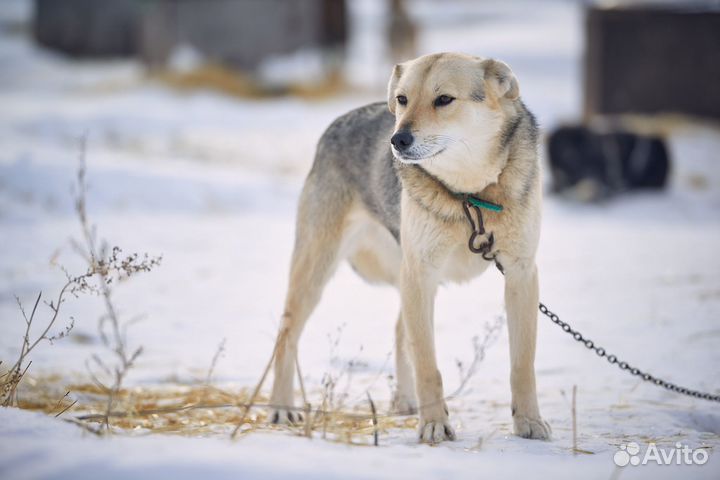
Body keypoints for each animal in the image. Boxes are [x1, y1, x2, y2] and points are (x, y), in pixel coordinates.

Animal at [268, 51, 548, 442]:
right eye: (402, 99)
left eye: (443, 99)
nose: (397, 140)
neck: (470, 195)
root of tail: (337, 122)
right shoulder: (423, 272)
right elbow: (428, 365)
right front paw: (434, 425)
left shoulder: (521, 272)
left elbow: (522, 364)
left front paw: (529, 422)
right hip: (317, 270)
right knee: (287, 334)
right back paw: (281, 407)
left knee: (401, 331)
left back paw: (404, 401)